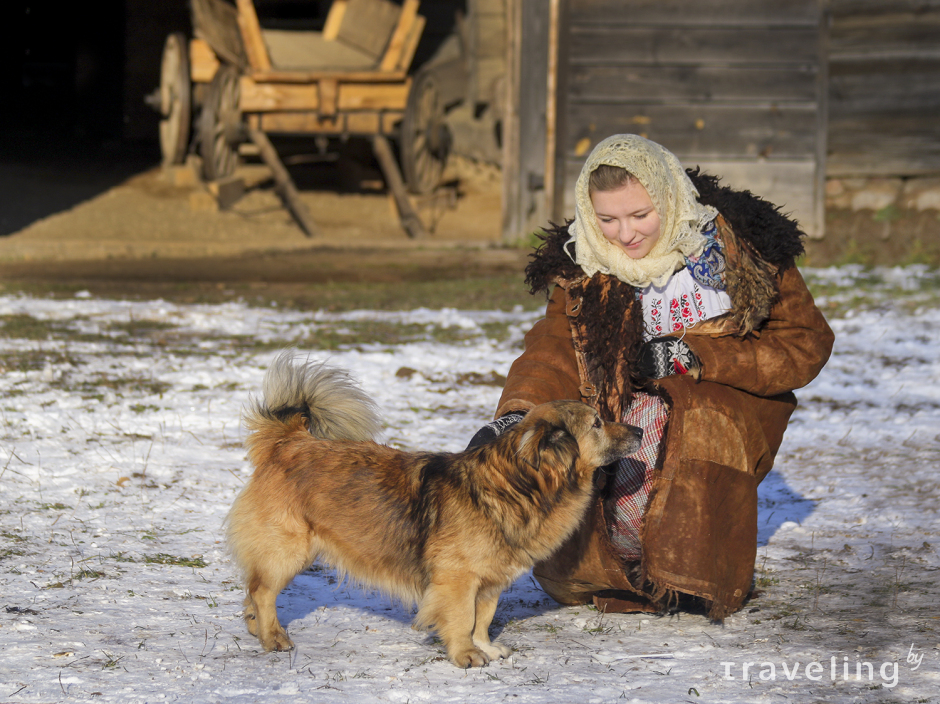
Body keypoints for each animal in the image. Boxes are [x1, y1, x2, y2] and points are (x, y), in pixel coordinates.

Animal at [224, 352, 644, 664]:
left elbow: (483, 618)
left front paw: (485, 646)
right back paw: (273, 636)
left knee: (253, 589)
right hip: (288, 550)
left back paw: (255, 627)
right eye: (597, 423)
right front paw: (466, 654)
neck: (516, 486)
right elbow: (462, 618)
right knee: (262, 590)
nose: (640, 430)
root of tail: (289, 441)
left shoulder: (489, 582)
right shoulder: (458, 580)